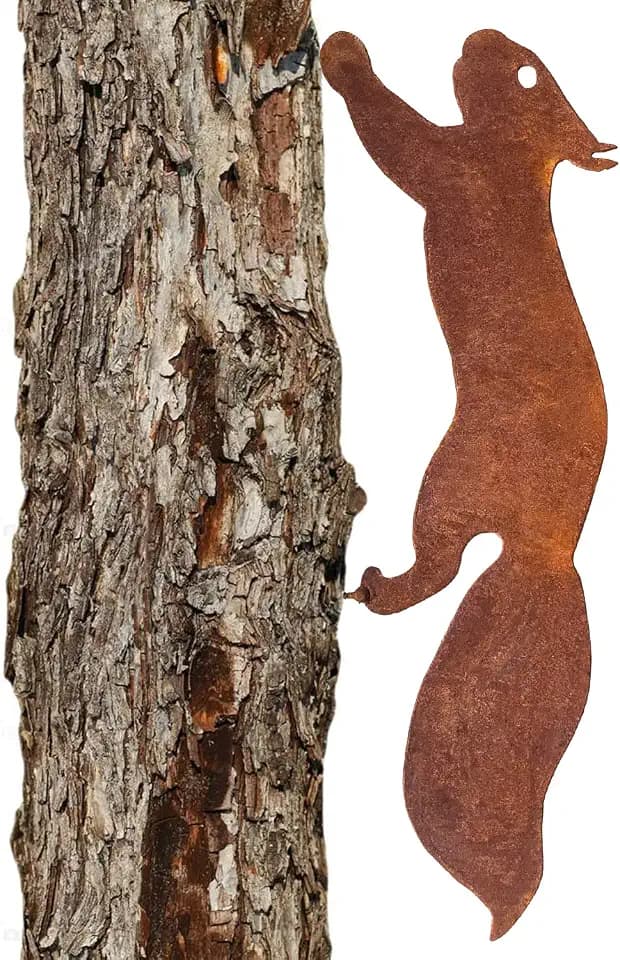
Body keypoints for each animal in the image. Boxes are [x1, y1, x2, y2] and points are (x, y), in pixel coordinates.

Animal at [321, 29, 615, 939]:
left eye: (524, 72)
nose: (478, 36)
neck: (520, 161)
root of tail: (549, 550)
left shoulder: (457, 168)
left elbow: (401, 140)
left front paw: (344, 57)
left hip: (449, 482)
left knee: (438, 568)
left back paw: (374, 587)